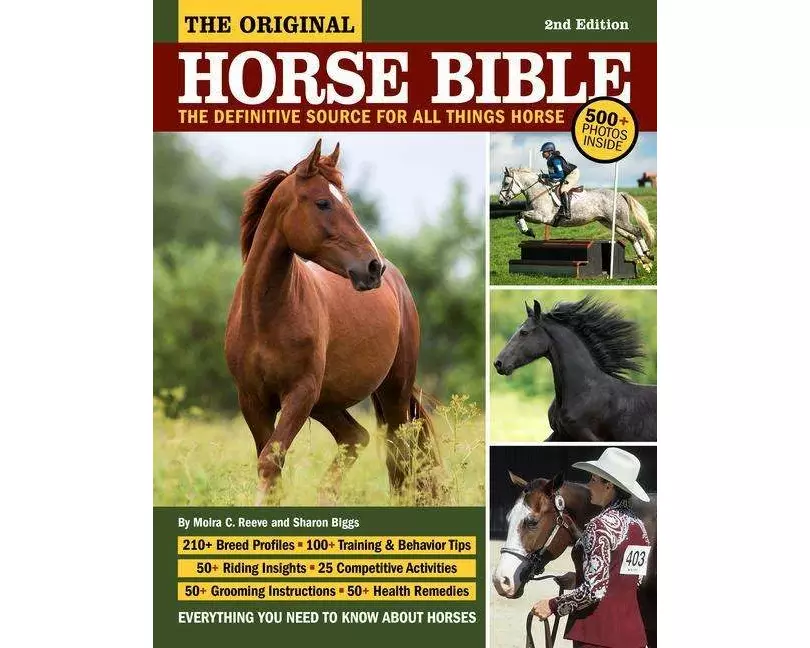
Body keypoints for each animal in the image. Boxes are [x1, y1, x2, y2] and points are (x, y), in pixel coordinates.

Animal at [224, 140, 440, 505]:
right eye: (323, 202)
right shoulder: (253, 401)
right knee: (356, 437)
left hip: (391, 392)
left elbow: (270, 461)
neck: (265, 316)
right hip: (326, 402)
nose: (372, 267)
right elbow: (271, 465)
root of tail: (398, 284)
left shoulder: (299, 394)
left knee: (398, 457)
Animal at [497, 166, 656, 271]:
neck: (537, 191)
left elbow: (520, 214)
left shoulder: (541, 216)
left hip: (620, 221)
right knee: (631, 236)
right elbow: (517, 215)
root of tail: (620, 194)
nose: (500, 201)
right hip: (611, 223)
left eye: (505, 183)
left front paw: (528, 231)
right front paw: (527, 231)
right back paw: (643, 259)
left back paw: (648, 254)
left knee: (637, 231)